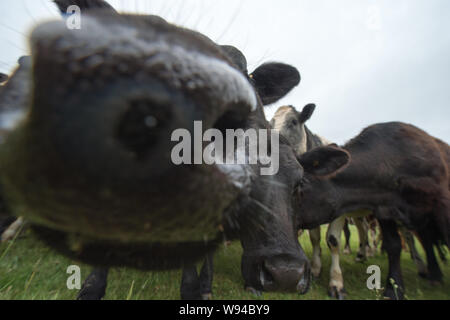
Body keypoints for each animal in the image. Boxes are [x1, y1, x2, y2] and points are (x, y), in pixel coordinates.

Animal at [296, 122, 450, 300]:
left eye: (300, 184)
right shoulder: (384, 210)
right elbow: (393, 245)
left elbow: (333, 240)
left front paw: (336, 284)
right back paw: (362, 254)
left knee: (413, 237)